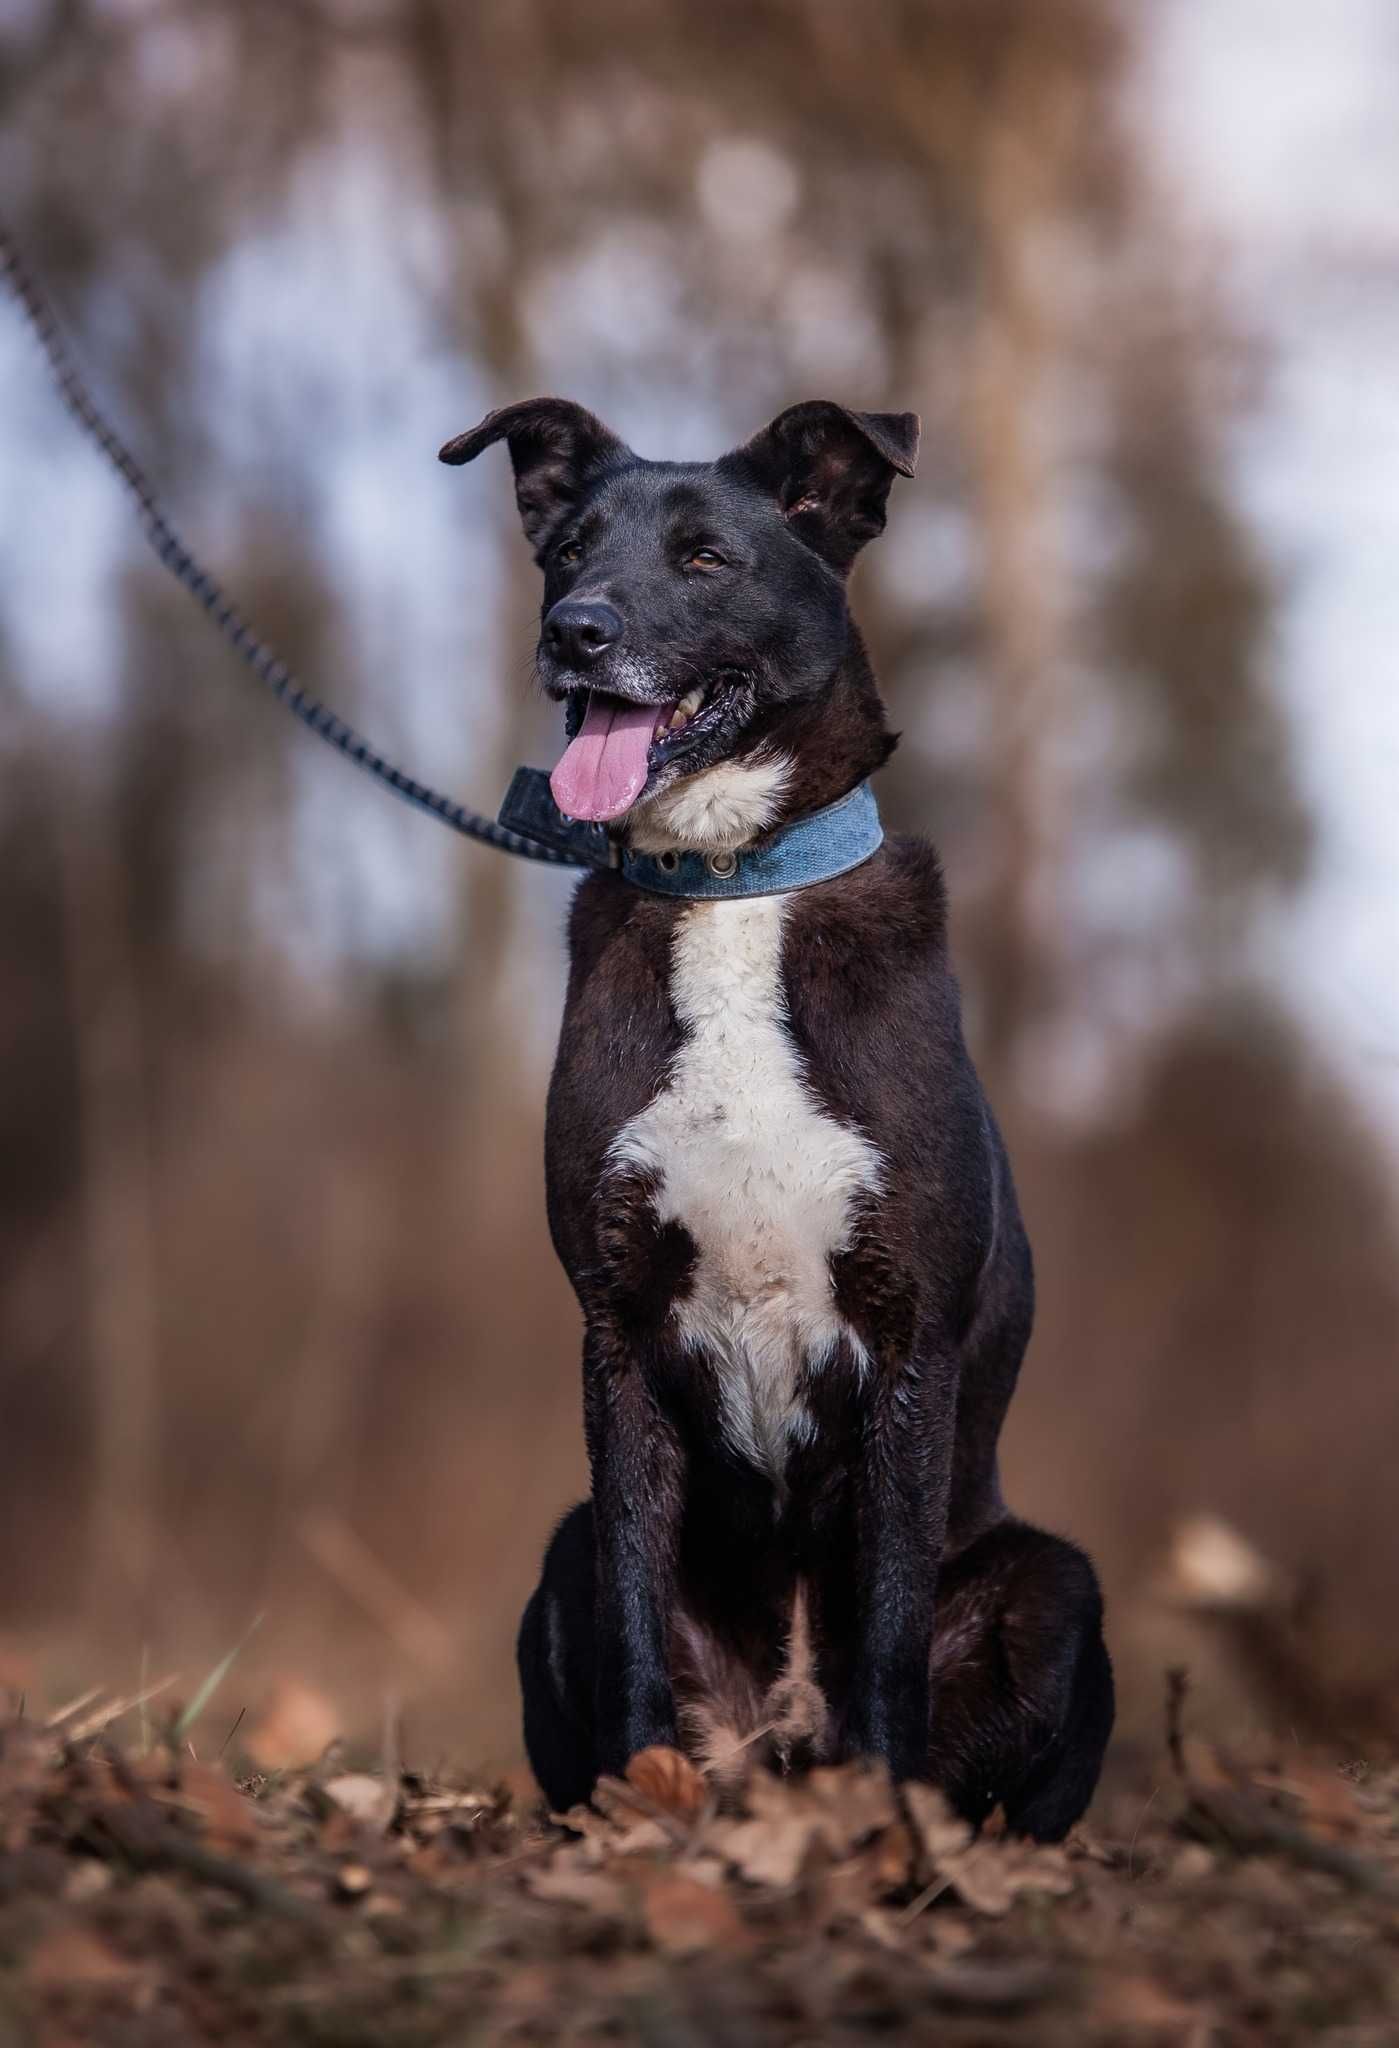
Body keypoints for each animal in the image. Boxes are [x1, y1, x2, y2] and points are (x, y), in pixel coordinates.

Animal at [440, 391, 1114, 1835]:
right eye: (566, 552)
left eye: (705, 559)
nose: (573, 631)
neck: (730, 883)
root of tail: (788, 1742)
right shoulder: (618, 1331)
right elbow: (637, 1607)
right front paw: (639, 1796)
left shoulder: (909, 1339)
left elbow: (890, 1623)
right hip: (560, 1557)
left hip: (1053, 1585)